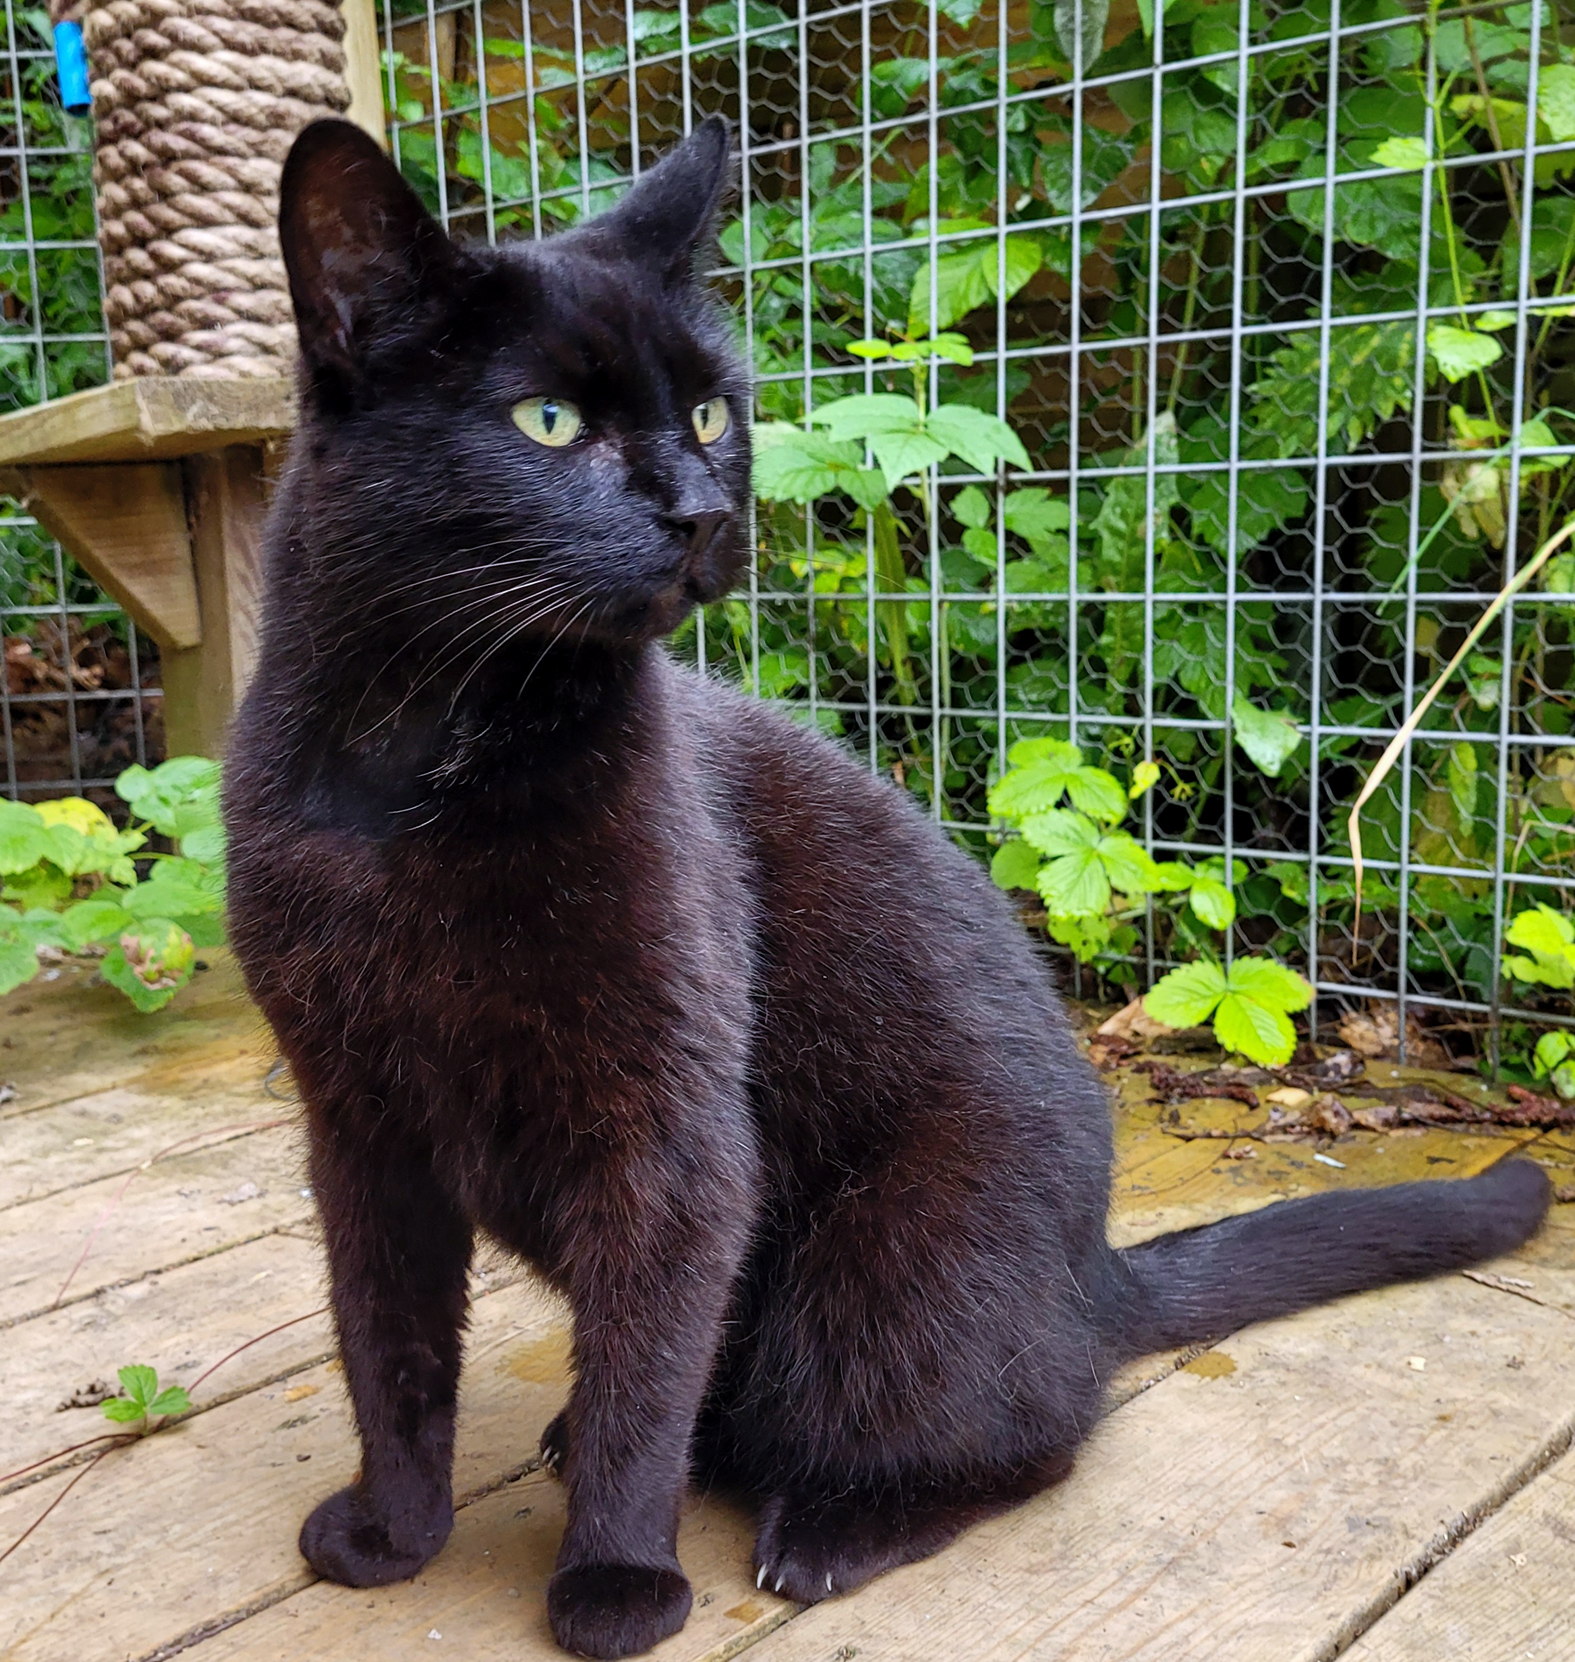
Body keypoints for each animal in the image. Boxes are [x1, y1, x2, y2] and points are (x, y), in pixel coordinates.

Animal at [223, 114, 1552, 1661]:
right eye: (546, 422)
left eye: (710, 416)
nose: (699, 512)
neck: (413, 761)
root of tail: (1094, 1277)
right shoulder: (358, 1126)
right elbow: (386, 1348)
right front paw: (391, 1533)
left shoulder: (669, 1135)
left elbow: (638, 1387)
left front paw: (615, 1583)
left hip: (887, 1260)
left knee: (1020, 1430)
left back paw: (831, 1528)